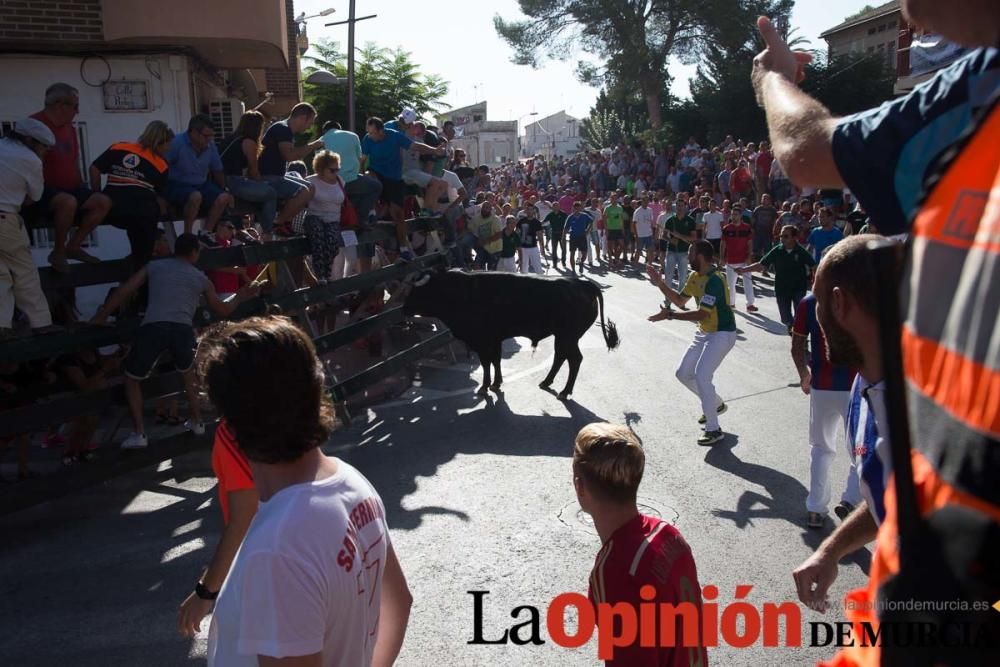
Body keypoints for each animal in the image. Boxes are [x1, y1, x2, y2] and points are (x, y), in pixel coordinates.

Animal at [402, 268, 620, 400]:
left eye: (416, 292)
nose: (404, 309)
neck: (460, 292)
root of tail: (584, 284)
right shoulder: (494, 339)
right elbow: (496, 360)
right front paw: (496, 383)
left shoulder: (482, 340)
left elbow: (486, 363)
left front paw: (485, 386)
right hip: (564, 337)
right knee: (561, 356)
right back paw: (547, 382)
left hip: (568, 336)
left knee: (574, 359)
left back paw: (564, 392)